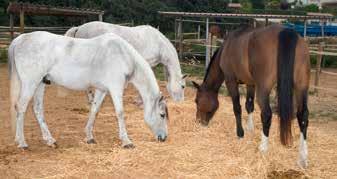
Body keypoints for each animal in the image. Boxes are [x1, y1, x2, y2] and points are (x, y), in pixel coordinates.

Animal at [8, 31, 168, 149]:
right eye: (162, 115)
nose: (164, 138)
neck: (123, 55)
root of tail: (20, 39)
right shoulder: (115, 88)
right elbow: (120, 113)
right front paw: (126, 141)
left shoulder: (101, 90)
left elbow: (94, 111)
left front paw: (89, 137)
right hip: (31, 83)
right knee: (20, 107)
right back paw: (22, 143)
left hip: (40, 83)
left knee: (37, 109)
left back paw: (50, 140)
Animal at [192, 24, 310, 169]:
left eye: (196, 101)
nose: (199, 121)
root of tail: (286, 32)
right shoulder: (250, 83)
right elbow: (249, 105)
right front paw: (250, 128)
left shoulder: (231, 81)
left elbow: (237, 108)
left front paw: (240, 133)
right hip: (301, 87)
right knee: (302, 116)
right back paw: (302, 158)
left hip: (264, 89)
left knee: (267, 114)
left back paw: (263, 148)